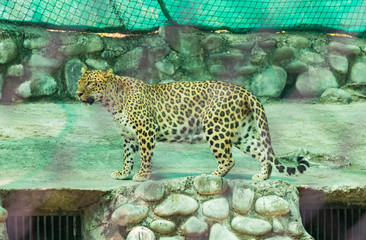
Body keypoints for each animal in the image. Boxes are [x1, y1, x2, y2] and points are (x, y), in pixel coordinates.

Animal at [76, 67, 308, 182]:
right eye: (80, 82)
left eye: (91, 83)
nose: (77, 93)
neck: (112, 102)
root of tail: (245, 91)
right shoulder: (128, 135)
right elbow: (127, 157)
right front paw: (123, 173)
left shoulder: (146, 131)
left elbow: (145, 156)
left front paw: (142, 175)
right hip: (244, 134)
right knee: (263, 153)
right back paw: (262, 177)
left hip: (215, 127)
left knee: (228, 159)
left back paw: (211, 177)